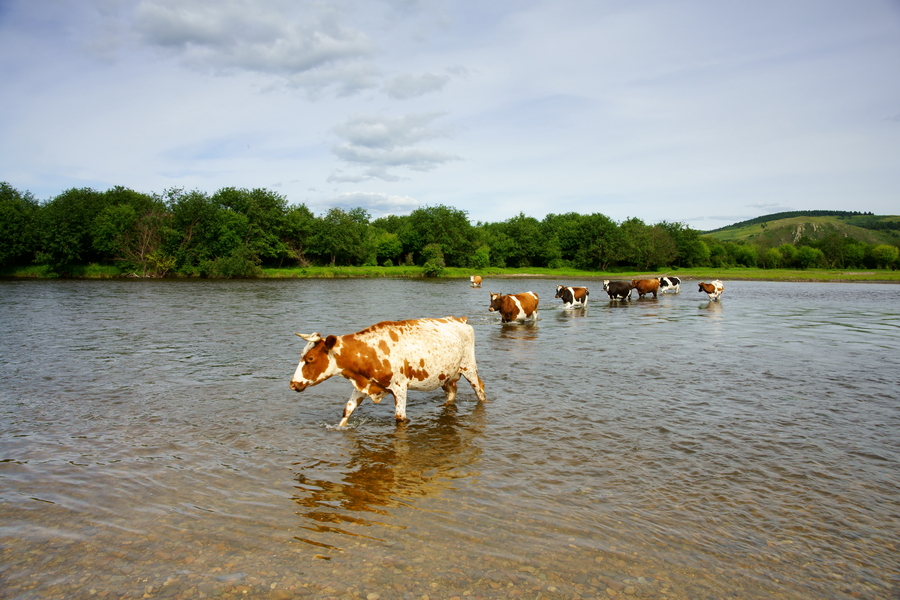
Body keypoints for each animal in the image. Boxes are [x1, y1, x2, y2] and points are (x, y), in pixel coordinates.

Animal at [290, 318, 486, 426]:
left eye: (310, 359)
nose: (292, 384)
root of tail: (459, 319)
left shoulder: (400, 387)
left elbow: (400, 418)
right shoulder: (364, 384)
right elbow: (347, 410)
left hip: (469, 367)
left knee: (480, 389)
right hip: (445, 376)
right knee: (452, 392)